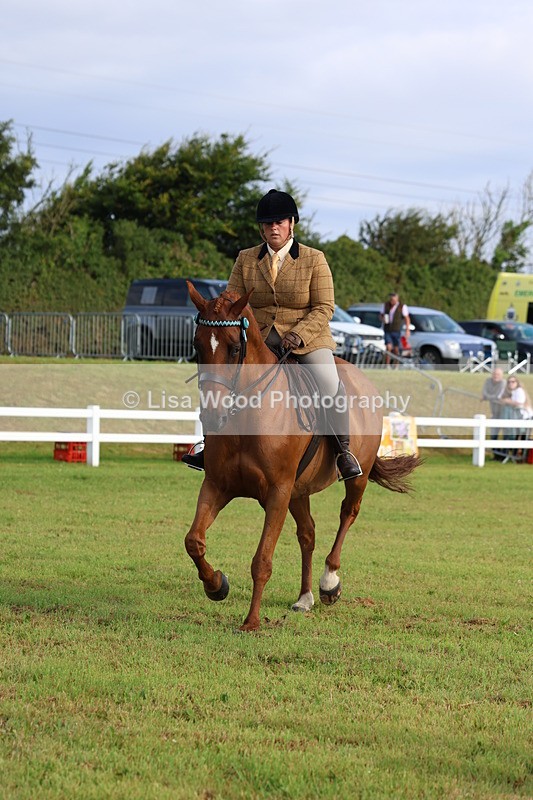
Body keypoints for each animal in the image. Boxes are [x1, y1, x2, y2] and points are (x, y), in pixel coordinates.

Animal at [184, 282, 422, 632]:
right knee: (307, 534)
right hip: (299, 491)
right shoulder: (217, 485)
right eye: (198, 346)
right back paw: (305, 597)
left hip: (356, 478)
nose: (213, 416)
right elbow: (194, 541)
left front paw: (251, 622)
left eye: (234, 348)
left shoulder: (277, 493)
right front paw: (216, 585)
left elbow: (262, 560)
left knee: (348, 513)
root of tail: (360, 376)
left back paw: (329, 583)